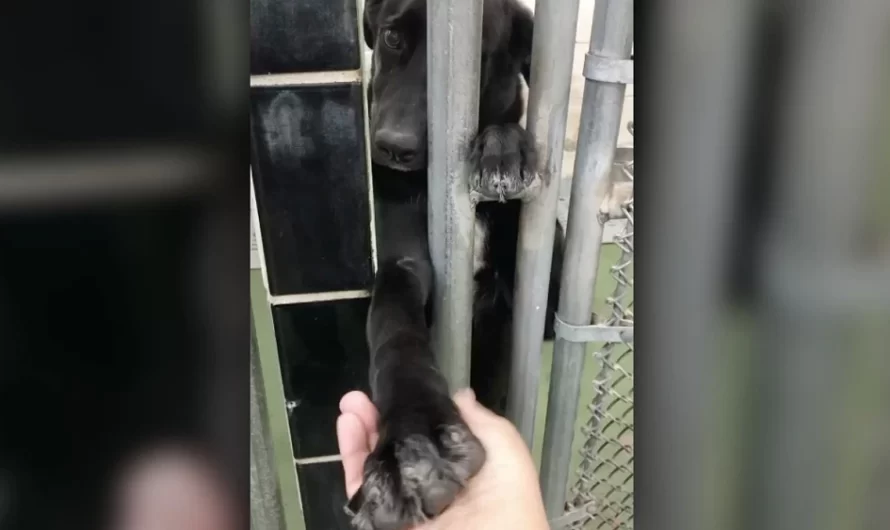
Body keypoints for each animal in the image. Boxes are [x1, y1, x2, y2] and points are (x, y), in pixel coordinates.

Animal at [346, 2, 560, 524]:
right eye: (392, 38)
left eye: (476, 61)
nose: (394, 146)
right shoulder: (405, 264)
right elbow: (396, 331)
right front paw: (411, 438)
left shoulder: (544, 296)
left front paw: (502, 146)